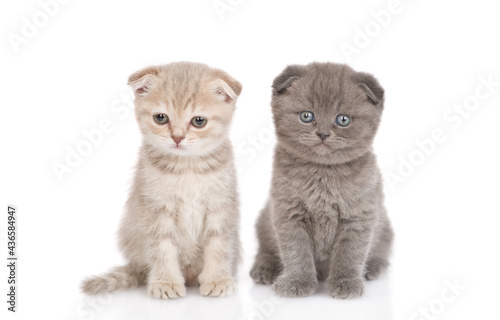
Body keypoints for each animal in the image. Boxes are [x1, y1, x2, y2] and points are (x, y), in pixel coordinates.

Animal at [82, 62, 242, 298]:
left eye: (199, 121)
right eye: (161, 118)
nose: (177, 137)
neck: (187, 169)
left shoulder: (220, 207)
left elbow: (219, 246)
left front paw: (217, 279)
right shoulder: (156, 209)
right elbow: (162, 249)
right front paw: (166, 282)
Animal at [250, 63, 394, 300]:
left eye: (342, 120)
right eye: (307, 116)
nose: (323, 134)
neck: (323, 174)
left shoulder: (358, 216)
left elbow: (349, 254)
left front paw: (346, 282)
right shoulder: (288, 214)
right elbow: (295, 252)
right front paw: (297, 282)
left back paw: (373, 267)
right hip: (264, 220)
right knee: (266, 249)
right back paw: (263, 269)